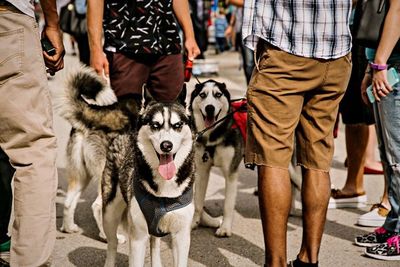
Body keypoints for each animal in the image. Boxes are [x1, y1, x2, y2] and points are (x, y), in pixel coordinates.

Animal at [58, 67, 140, 243]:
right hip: (108, 178)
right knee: (98, 207)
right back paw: (109, 237)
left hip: (82, 176)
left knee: (68, 203)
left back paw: (69, 228)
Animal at [102, 90, 195, 267]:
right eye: (155, 125)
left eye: (177, 125)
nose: (166, 145)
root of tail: (126, 133)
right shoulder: (138, 237)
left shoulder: (181, 236)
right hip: (109, 213)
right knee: (112, 244)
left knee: (155, 244)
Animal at [190, 80, 244, 238]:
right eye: (202, 95)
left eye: (218, 94)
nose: (210, 108)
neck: (213, 136)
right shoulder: (202, 171)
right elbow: (198, 202)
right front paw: (194, 223)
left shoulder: (231, 173)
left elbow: (228, 205)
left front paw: (225, 228)